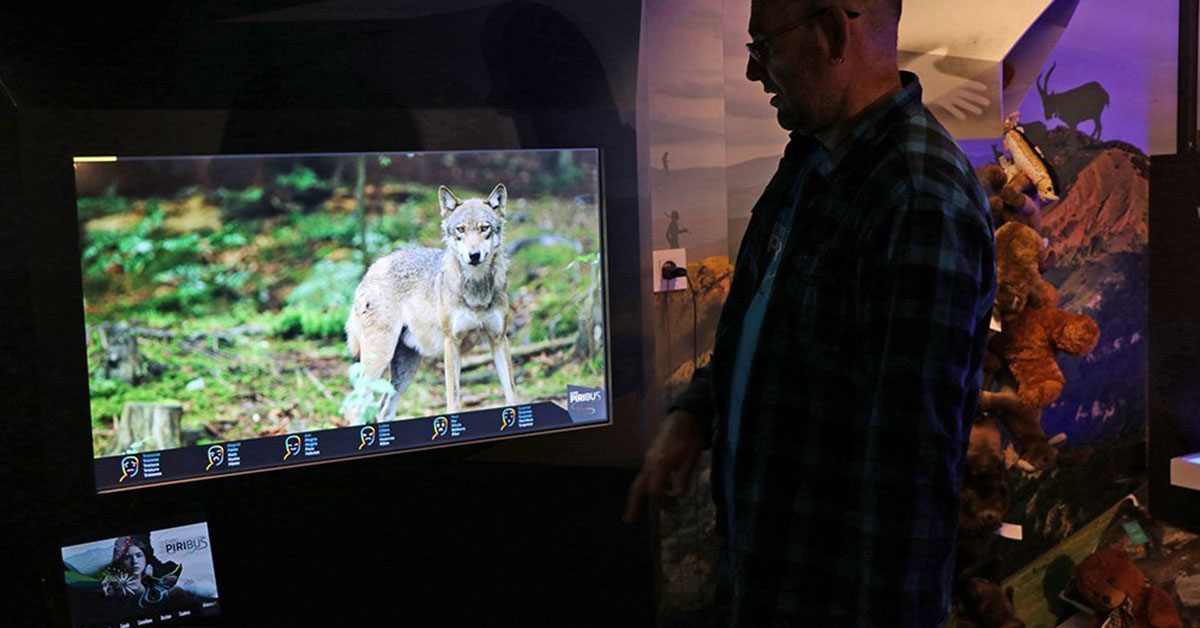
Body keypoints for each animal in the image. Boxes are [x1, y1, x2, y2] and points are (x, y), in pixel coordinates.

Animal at [345, 184, 518, 425]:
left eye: (484, 228)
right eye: (461, 230)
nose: (474, 255)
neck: (476, 290)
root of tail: (371, 270)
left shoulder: (499, 340)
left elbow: (512, 395)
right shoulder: (451, 344)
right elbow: (453, 402)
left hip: (406, 368)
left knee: (383, 408)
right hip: (379, 358)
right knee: (356, 407)